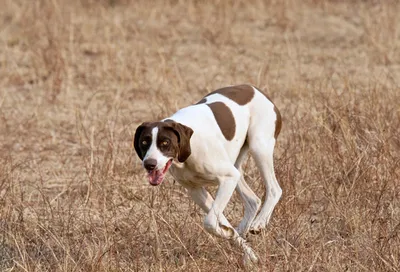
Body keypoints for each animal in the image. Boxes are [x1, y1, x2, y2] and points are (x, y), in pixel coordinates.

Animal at [134, 84, 282, 262]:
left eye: (165, 142)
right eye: (144, 142)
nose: (149, 164)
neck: (188, 149)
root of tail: (255, 89)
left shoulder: (228, 178)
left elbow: (210, 222)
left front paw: (228, 234)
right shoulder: (196, 191)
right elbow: (221, 221)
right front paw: (235, 239)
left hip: (258, 147)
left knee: (274, 189)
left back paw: (259, 223)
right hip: (236, 166)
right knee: (253, 200)